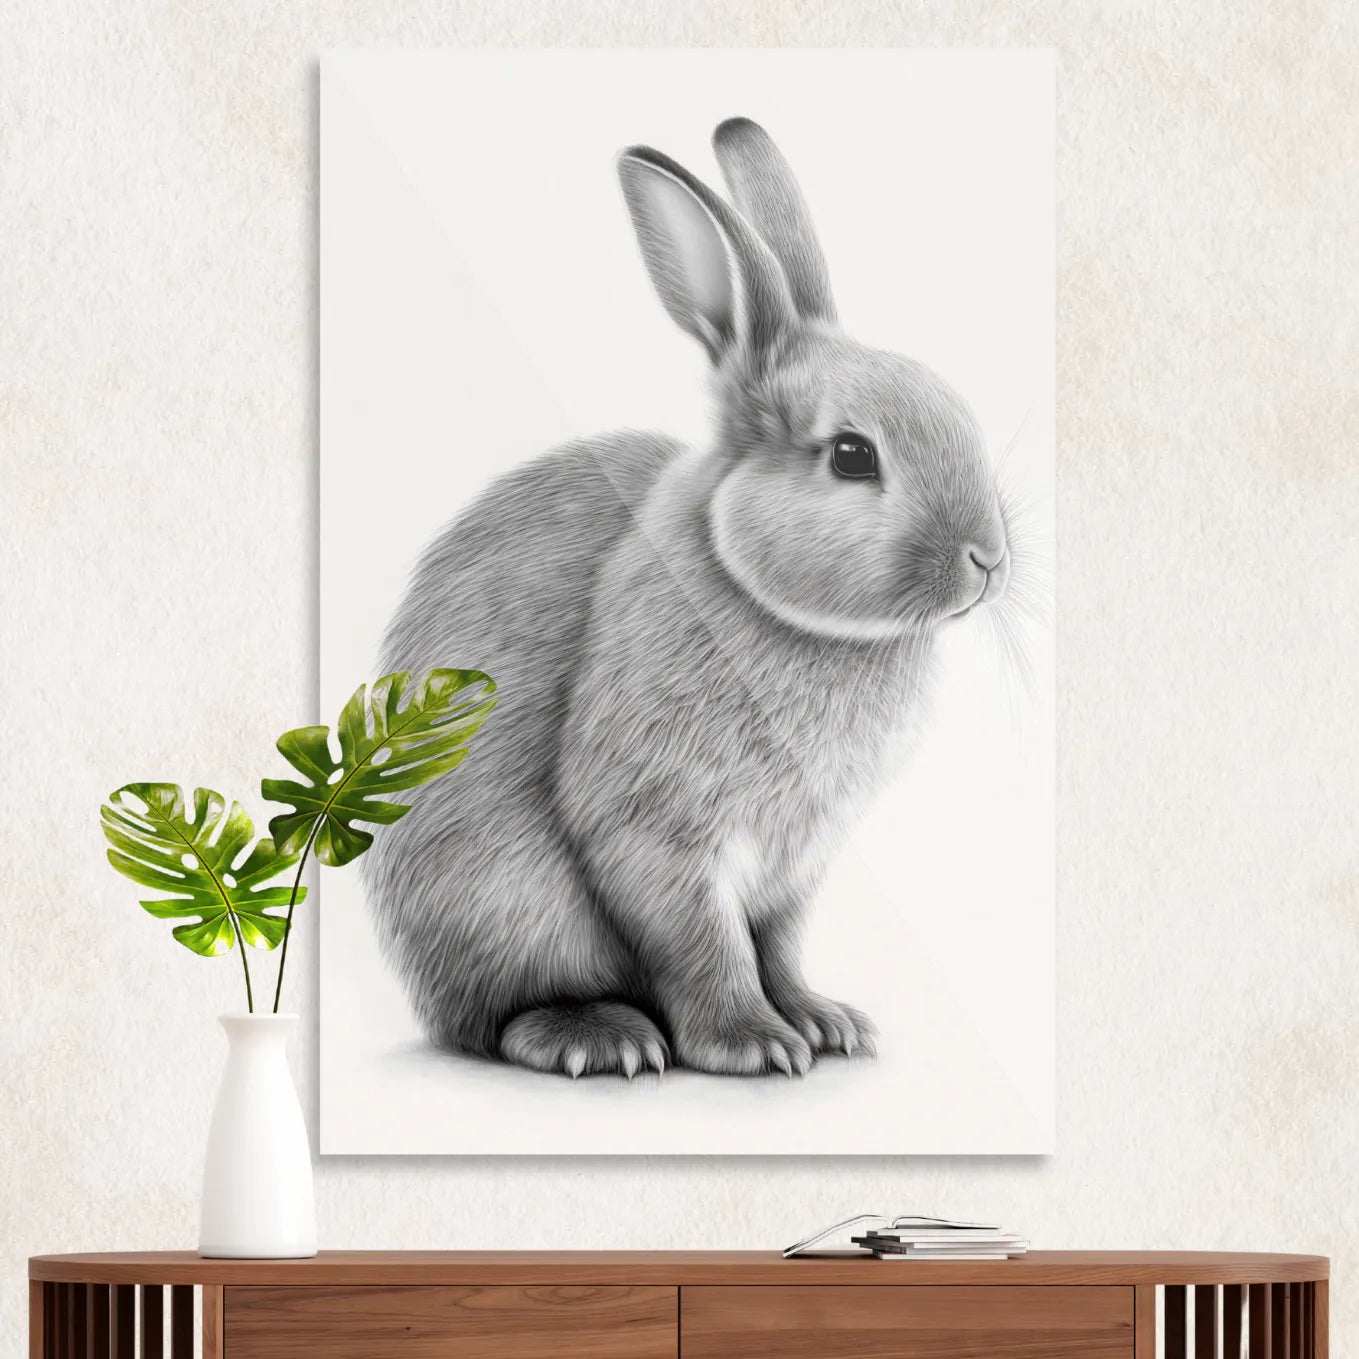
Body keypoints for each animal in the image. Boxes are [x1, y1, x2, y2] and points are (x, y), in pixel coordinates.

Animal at [363, 117, 1015, 1079]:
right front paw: (753, 1044)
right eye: (852, 455)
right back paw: (598, 1037)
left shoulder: (794, 862)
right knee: (497, 1017)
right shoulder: (656, 829)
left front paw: (823, 1023)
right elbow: (702, 941)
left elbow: (776, 945)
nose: (987, 560)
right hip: (503, 904)